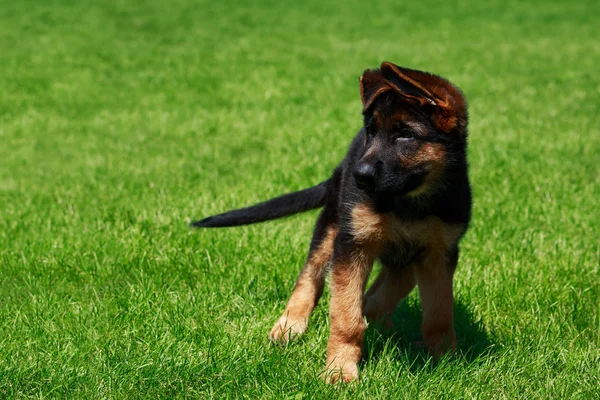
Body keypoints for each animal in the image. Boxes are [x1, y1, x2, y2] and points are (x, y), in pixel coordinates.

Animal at [190, 61, 472, 382]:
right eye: (371, 132)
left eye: (406, 135)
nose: (358, 176)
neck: (408, 202)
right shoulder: (352, 245)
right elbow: (345, 316)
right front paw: (340, 370)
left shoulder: (438, 255)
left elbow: (439, 315)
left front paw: (447, 361)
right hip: (331, 231)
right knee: (310, 279)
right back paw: (289, 326)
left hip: (406, 262)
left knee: (378, 297)